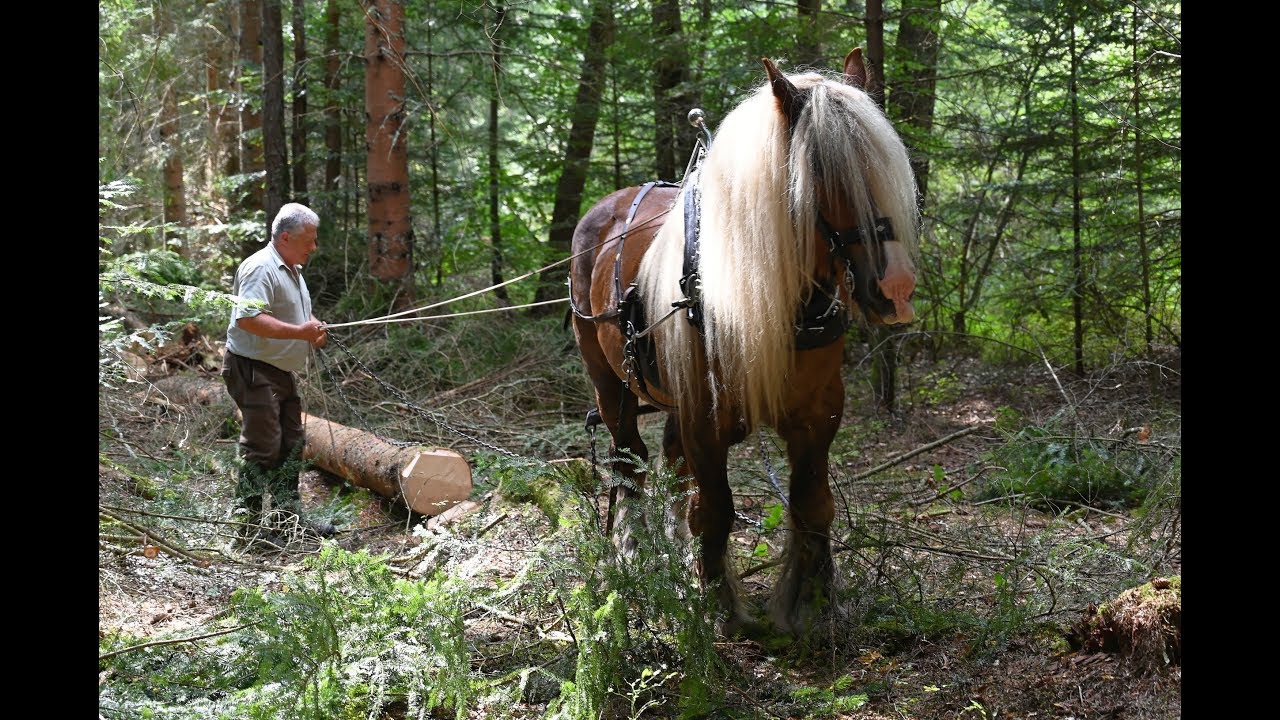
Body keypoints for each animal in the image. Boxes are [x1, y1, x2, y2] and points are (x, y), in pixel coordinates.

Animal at [568, 48, 919, 637]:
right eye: (820, 172)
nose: (894, 287)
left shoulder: (819, 413)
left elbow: (812, 502)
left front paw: (811, 601)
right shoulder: (704, 418)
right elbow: (715, 509)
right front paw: (719, 606)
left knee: (669, 464)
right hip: (609, 383)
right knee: (629, 460)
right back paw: (634, 552)